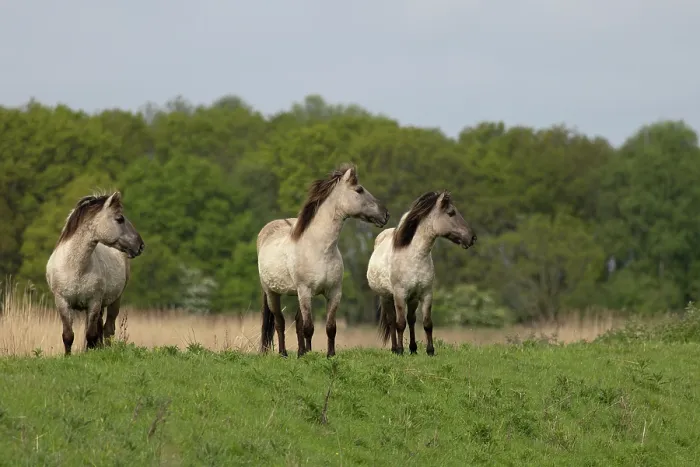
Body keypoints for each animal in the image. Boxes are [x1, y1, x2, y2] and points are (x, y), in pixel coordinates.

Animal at [45, 191, 145, 355]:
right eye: (119, 219)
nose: (140, 245)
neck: (75, 267)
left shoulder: (94, 303)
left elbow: (91, 335)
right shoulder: (62, 303)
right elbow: (68, 335)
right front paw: (68, 356)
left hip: (114, 301)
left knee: (108, 329)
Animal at [257, 163, 390, 358]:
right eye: (359, 189)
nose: (385, 214)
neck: (320, 249)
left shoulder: (334, 293)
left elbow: (330, 328)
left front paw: (329, 355)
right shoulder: (305, 292)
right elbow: (308, 328)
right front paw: (309, 356)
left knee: (297, 322)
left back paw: (300, 352)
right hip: (272, 293)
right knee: (279, 322)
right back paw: (283, 353)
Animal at [366, 190, 476, 356]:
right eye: (451, 213)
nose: (471, 237)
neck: (414, 257)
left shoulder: (426, 294)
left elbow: (427, 323)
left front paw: (430, 351)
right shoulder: (400, 295)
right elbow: (400, 324)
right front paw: (400, 351)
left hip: (413, 299)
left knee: (411, 319)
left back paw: (413, 349)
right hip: (386, 297)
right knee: (392, 320)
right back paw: (395, 349)